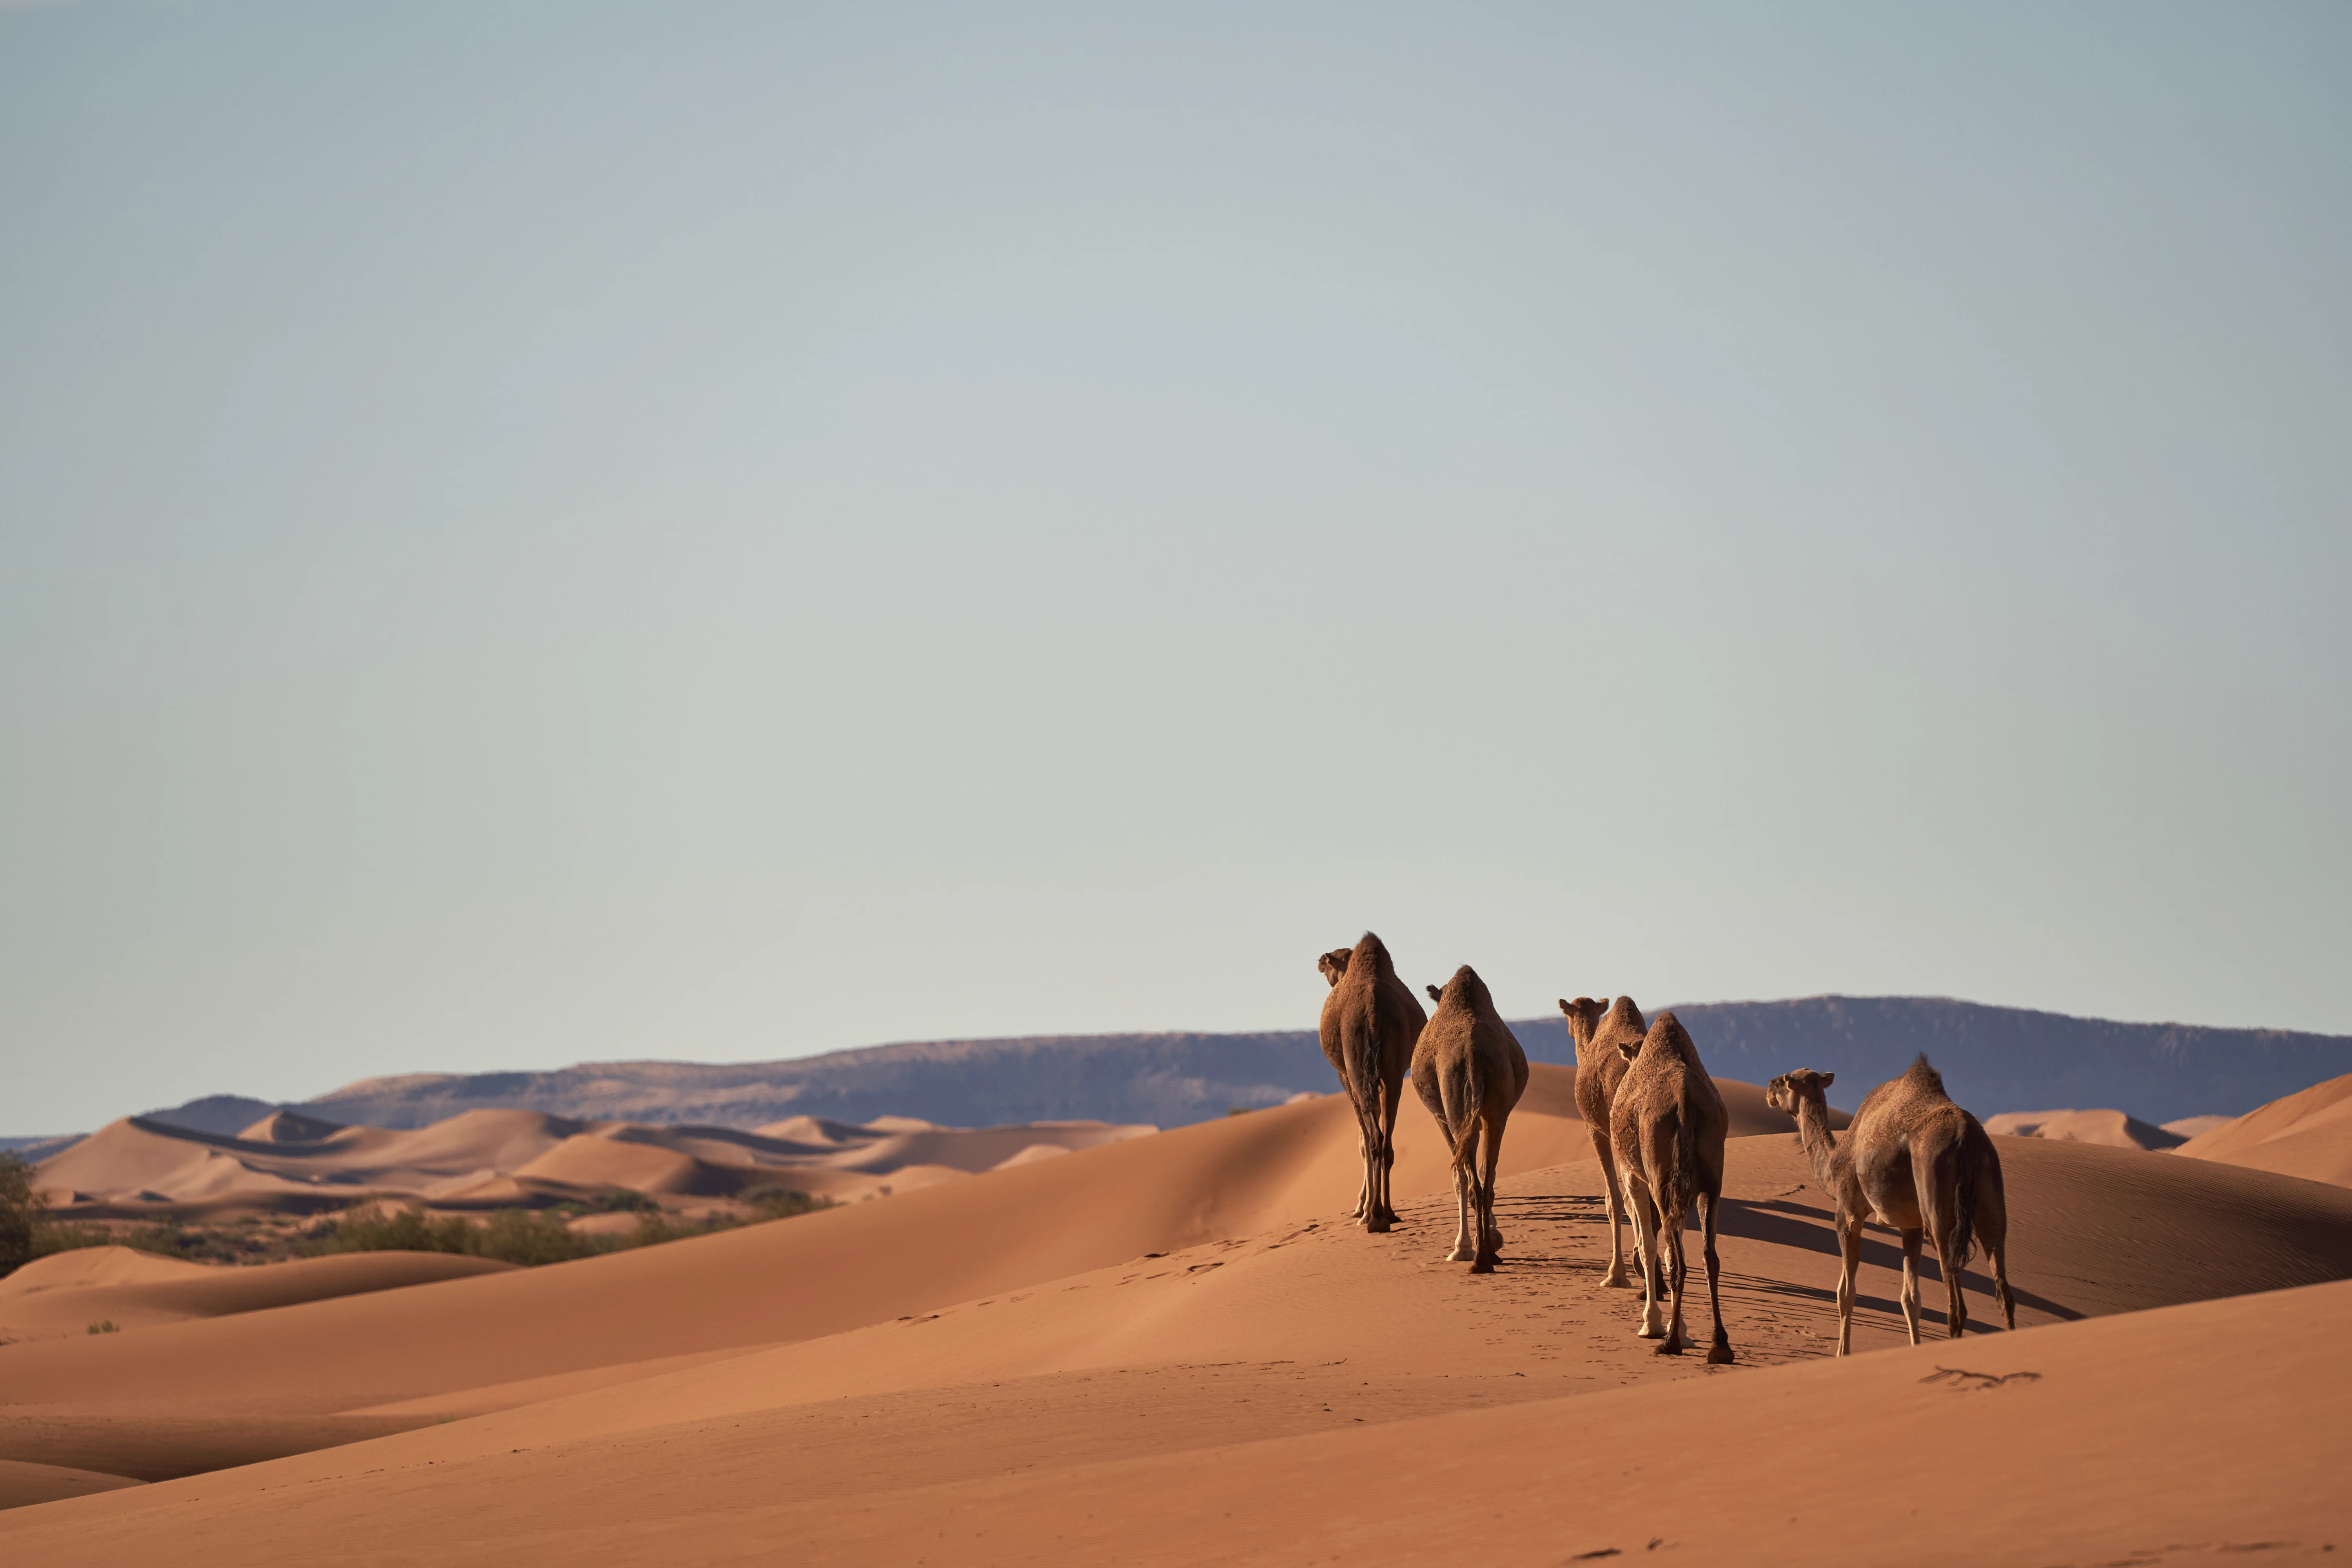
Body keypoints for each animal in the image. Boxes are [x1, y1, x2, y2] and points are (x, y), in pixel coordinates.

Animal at [1317, 934, 1426, 1232]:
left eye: (1330, 962)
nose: (1320, 962)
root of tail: (1374, 1012)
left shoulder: (1346, 1075)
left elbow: (1362, 1141)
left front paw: (1360, 1208)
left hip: (1357, 1066)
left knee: (1375, 1139)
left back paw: (1374, 1216)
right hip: (1393, 1070)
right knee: (1386, 1140)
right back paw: (1387, 1213)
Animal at [1409, 964, 1529, 1273]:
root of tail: (1472, 1052)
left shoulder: (1441, 1116)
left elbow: (1457, 1176)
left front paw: (1460, 1248)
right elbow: (1487, 1172)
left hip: (1455, 1109)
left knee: (1470, 1179)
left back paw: (1478, 1258)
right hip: (1497, 1107)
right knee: (1487, 1181)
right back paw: (1489, 1255)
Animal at [1609, 1011, 1734, 1362]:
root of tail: (1684, 1098)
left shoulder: (1634, 1176)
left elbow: (1649, 1245)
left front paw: (1653, 1324)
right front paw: (1678, 1328)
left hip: (1662, 1178)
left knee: (1677, 1259)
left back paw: (1670, 1343)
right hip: (1710, 1181)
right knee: (1709, 1256)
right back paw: (1720, 1345)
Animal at [1765, 1056, 2016, 1355]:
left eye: (1783, 1081)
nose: (1768, 1089)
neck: (1833, 1164)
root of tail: (1966, 1137)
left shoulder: (1848, 1214)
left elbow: (1845, 1293)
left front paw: (1842, 1354)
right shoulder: (1911, 1226)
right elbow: (1911, 1299)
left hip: (1938, 1194)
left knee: (1956, 1307)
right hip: (1991, 1188)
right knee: (2003, 1288)